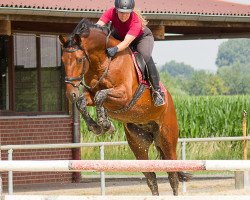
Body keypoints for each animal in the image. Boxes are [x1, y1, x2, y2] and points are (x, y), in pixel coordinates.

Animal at [59, 18, 190, 195]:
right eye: (63, 61)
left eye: (79, 59)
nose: (69, 94)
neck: (104, 61)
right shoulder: (91, 94)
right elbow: (83, 101)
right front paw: (96, 126)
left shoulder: (124, 96)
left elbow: (101, 96)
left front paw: (106, 124)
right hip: (138, 143)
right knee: (151, 177)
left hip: (167, 139)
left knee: (173, 176)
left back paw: (159, 97)